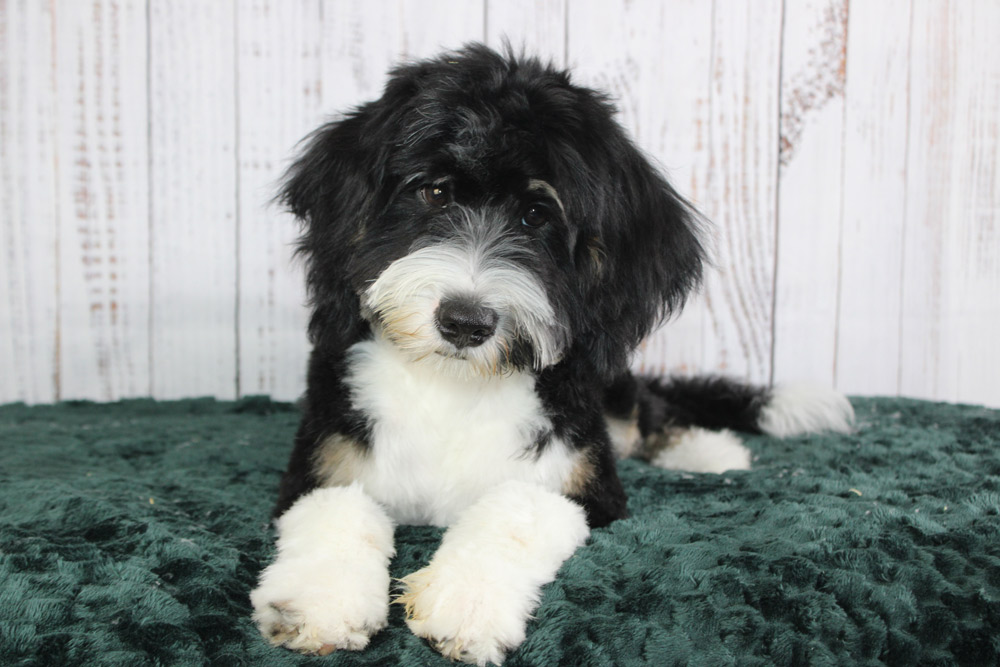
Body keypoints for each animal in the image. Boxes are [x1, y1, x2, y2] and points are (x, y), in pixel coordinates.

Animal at [250, 44, 854, 665]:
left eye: (536, 216)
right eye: (434, 192)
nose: (464, 322)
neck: (454, 384)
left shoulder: (586, 484)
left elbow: (520, 506)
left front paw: (464, 601)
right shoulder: (323, 459)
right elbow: (336, 507)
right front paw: (320, 602)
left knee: (649, 413)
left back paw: (709, 452)